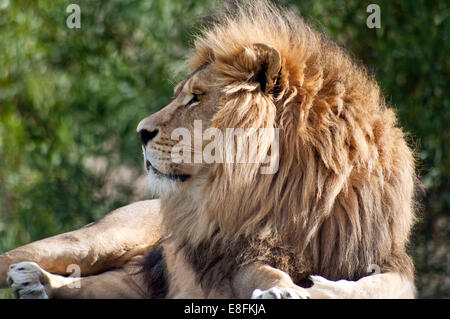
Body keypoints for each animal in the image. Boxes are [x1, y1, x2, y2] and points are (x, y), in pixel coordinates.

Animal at [1, 0, 416, 300]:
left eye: (195, 98)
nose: (140, 132)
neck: (297, 191)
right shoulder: (238, 256)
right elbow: (265, 272)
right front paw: (284, 290)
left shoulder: (384, 257)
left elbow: (384, 285)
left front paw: (326, 288)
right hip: (97, 240)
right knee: (22, 256)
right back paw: (28, 275)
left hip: (130, 284)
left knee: (89, 286)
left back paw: (37, 284)